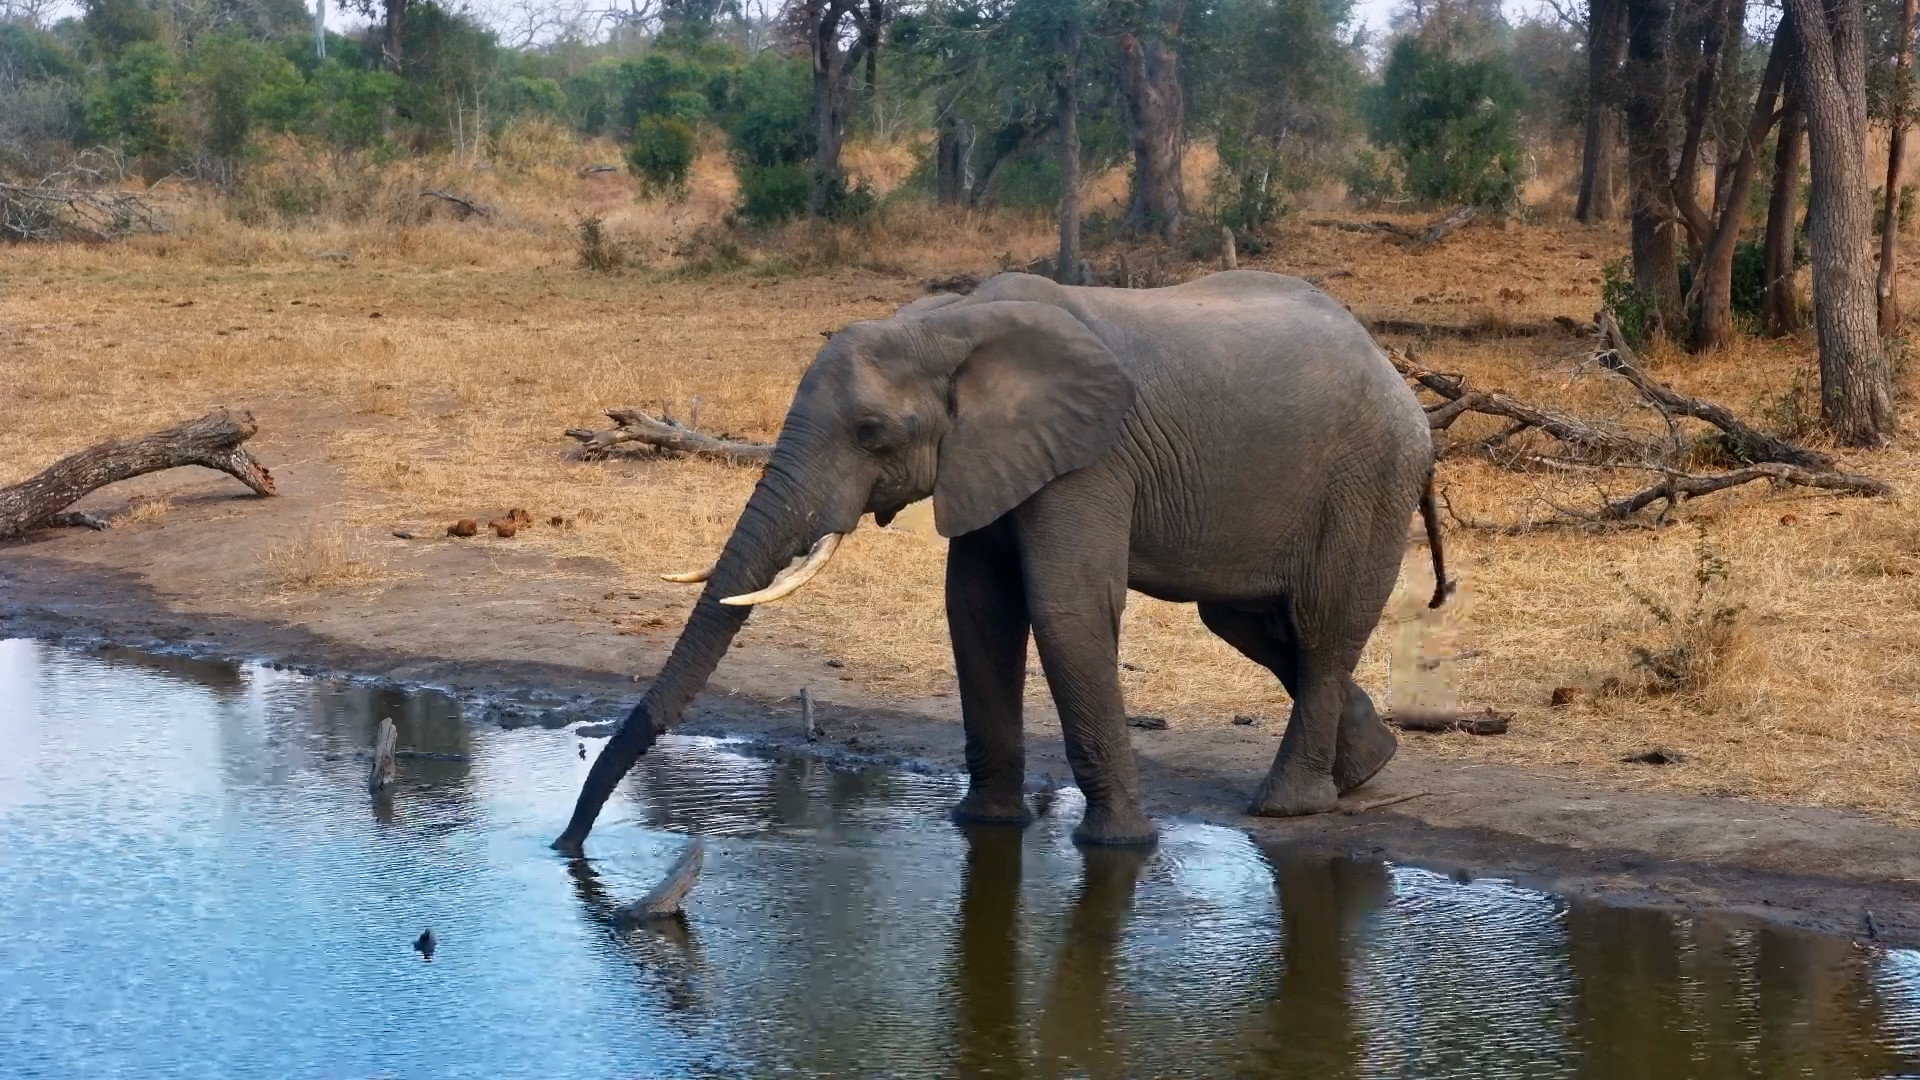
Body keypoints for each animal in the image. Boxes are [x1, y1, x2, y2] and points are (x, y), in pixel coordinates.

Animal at [554, 269, 1450, 853]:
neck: (948, 325)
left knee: (1320, 625)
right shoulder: (988, 457)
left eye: (872, 434)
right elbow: (977, 610)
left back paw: (1286, 809)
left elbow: (1065, 606)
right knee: (1249, 621)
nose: (568, 845)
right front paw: (983, 827)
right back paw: (1367, 766)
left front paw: (1120, 846)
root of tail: (1396, 375)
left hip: (1368, 477)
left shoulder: (1090, 457)